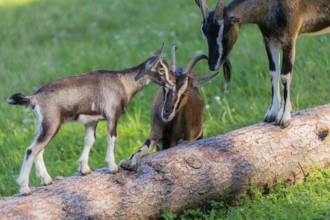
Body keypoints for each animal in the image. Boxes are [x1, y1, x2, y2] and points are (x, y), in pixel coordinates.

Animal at [6, 43, 171, 195]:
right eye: (161, 69)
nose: (171, 83)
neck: (123, 82)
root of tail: (34, 98)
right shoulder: (112, 115)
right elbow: (112, 137)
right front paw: (112, 167)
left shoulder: (92, 121)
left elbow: (89, 140)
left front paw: (84, 169)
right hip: (51, 124)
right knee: (31, 150)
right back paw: (25, 188)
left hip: (45, 126)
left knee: (39, 150)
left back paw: (46, 180)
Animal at [195, 0, 330, 127]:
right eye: (204, 34)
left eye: (223, 33)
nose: (213, 65)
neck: (270, 4)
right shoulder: (270, 40)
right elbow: (273, 73)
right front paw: (272, 113)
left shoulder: (289, 39)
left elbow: (285, 76)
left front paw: (284, 117)